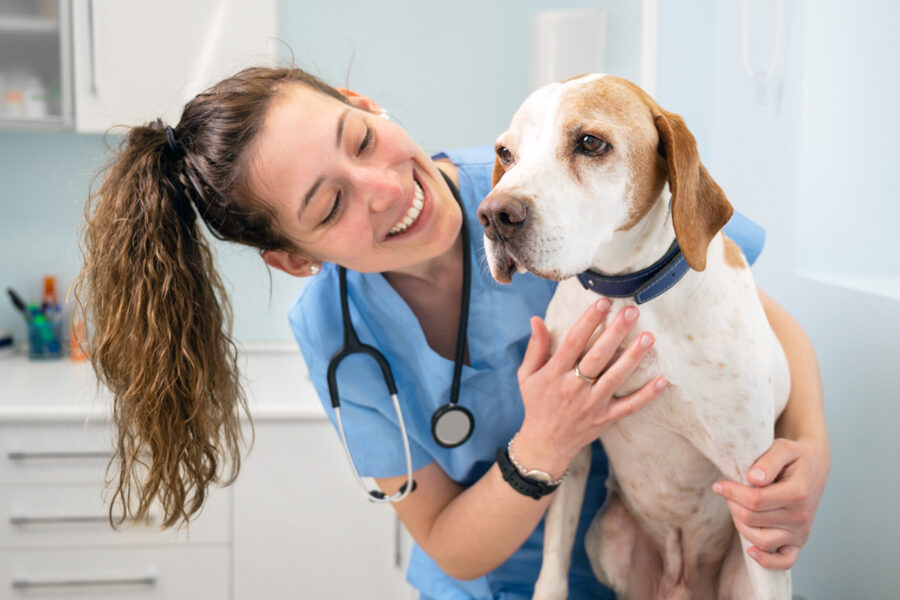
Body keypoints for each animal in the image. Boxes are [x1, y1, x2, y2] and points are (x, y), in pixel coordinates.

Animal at [482, 76, 792, 600]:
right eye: (506, 153)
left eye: (590, 142)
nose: (493, 215)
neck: (630, 294)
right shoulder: (569, 449)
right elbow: (552, 570)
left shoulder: (754, 488)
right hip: (607, 535)